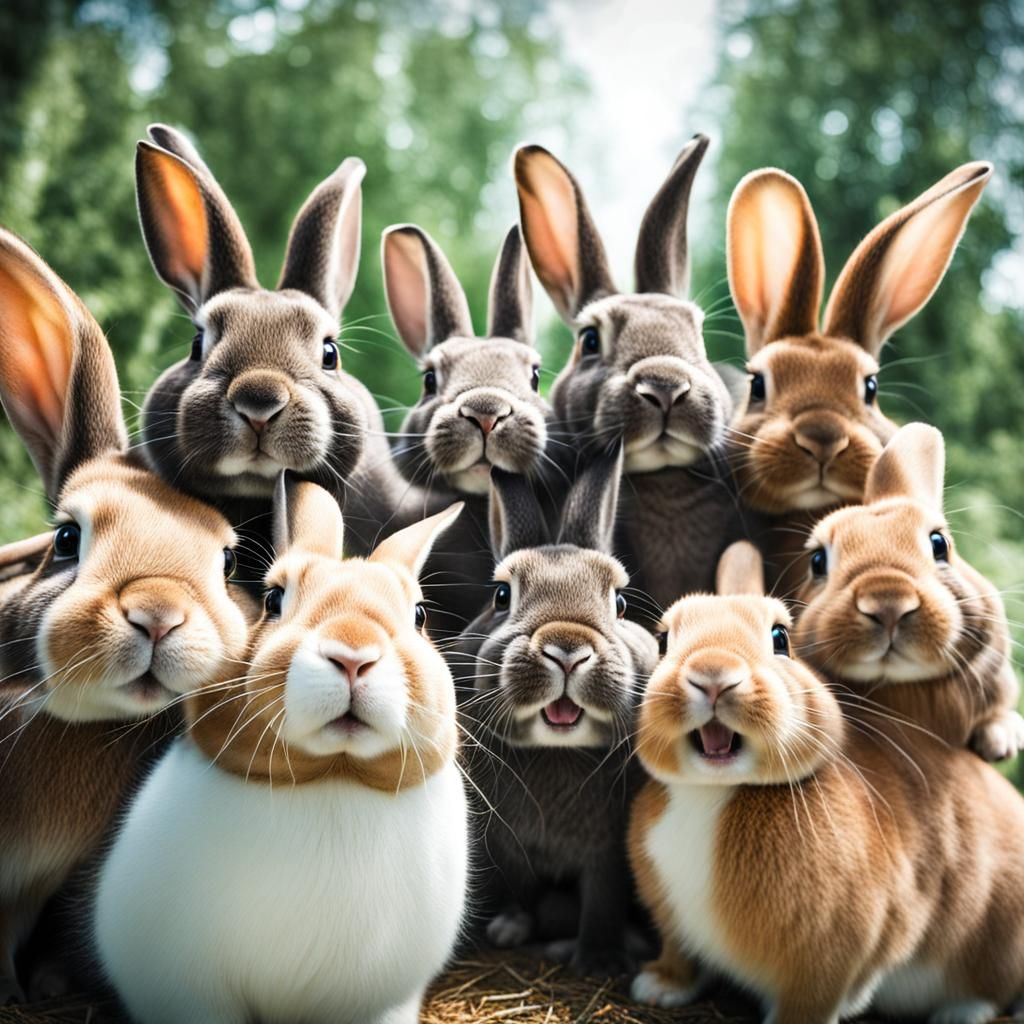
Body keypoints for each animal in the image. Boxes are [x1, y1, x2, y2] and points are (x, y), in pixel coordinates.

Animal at [454, 445, 659, 974]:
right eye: (501, 596)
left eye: (620, 603)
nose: (567, 648)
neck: (555, 750)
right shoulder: (504, 849)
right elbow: (515, 890)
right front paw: (504, 927)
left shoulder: (608, 855)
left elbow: (603, 901)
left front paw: (599, 962)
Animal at [628, 540, 1024, 1023]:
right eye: (664, 641)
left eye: (781, 639)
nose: (714, 675)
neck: (714, 792)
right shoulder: (673, 920)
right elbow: (680, 953)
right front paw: (660, 986)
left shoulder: (834, 952)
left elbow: (815, 998)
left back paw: (959, 1013)